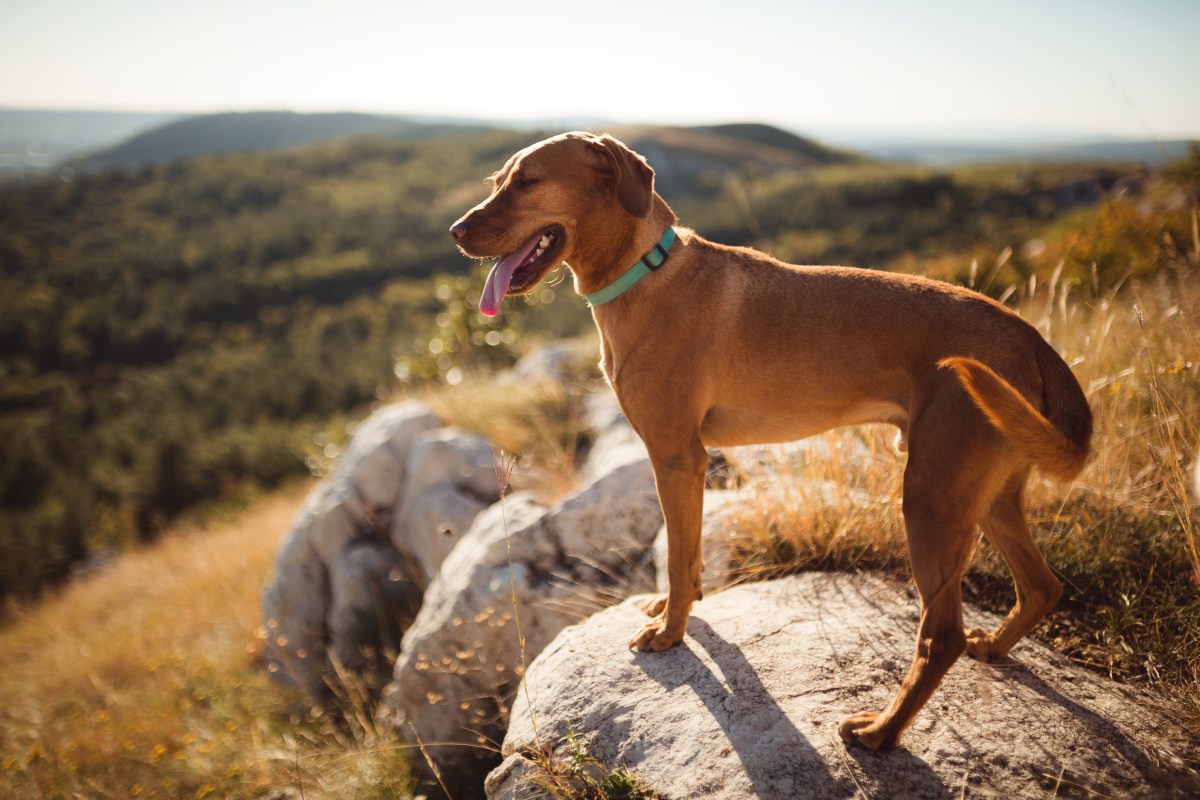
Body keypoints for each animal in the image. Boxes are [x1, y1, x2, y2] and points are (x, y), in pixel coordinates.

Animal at [446, 131, 1094, 753]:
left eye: (529, 182)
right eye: (498, 180)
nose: (455, 232)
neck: (644, 271)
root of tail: (1032, 335)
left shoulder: (676, 456)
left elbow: (677, 558)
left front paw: (670, 633)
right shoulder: (689, 464)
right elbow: (687, 555)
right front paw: (674, 610)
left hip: (931, 497)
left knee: (942, 637)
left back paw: (881, 733)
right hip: (988, 493)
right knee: (1041, 587)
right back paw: (995, 648)